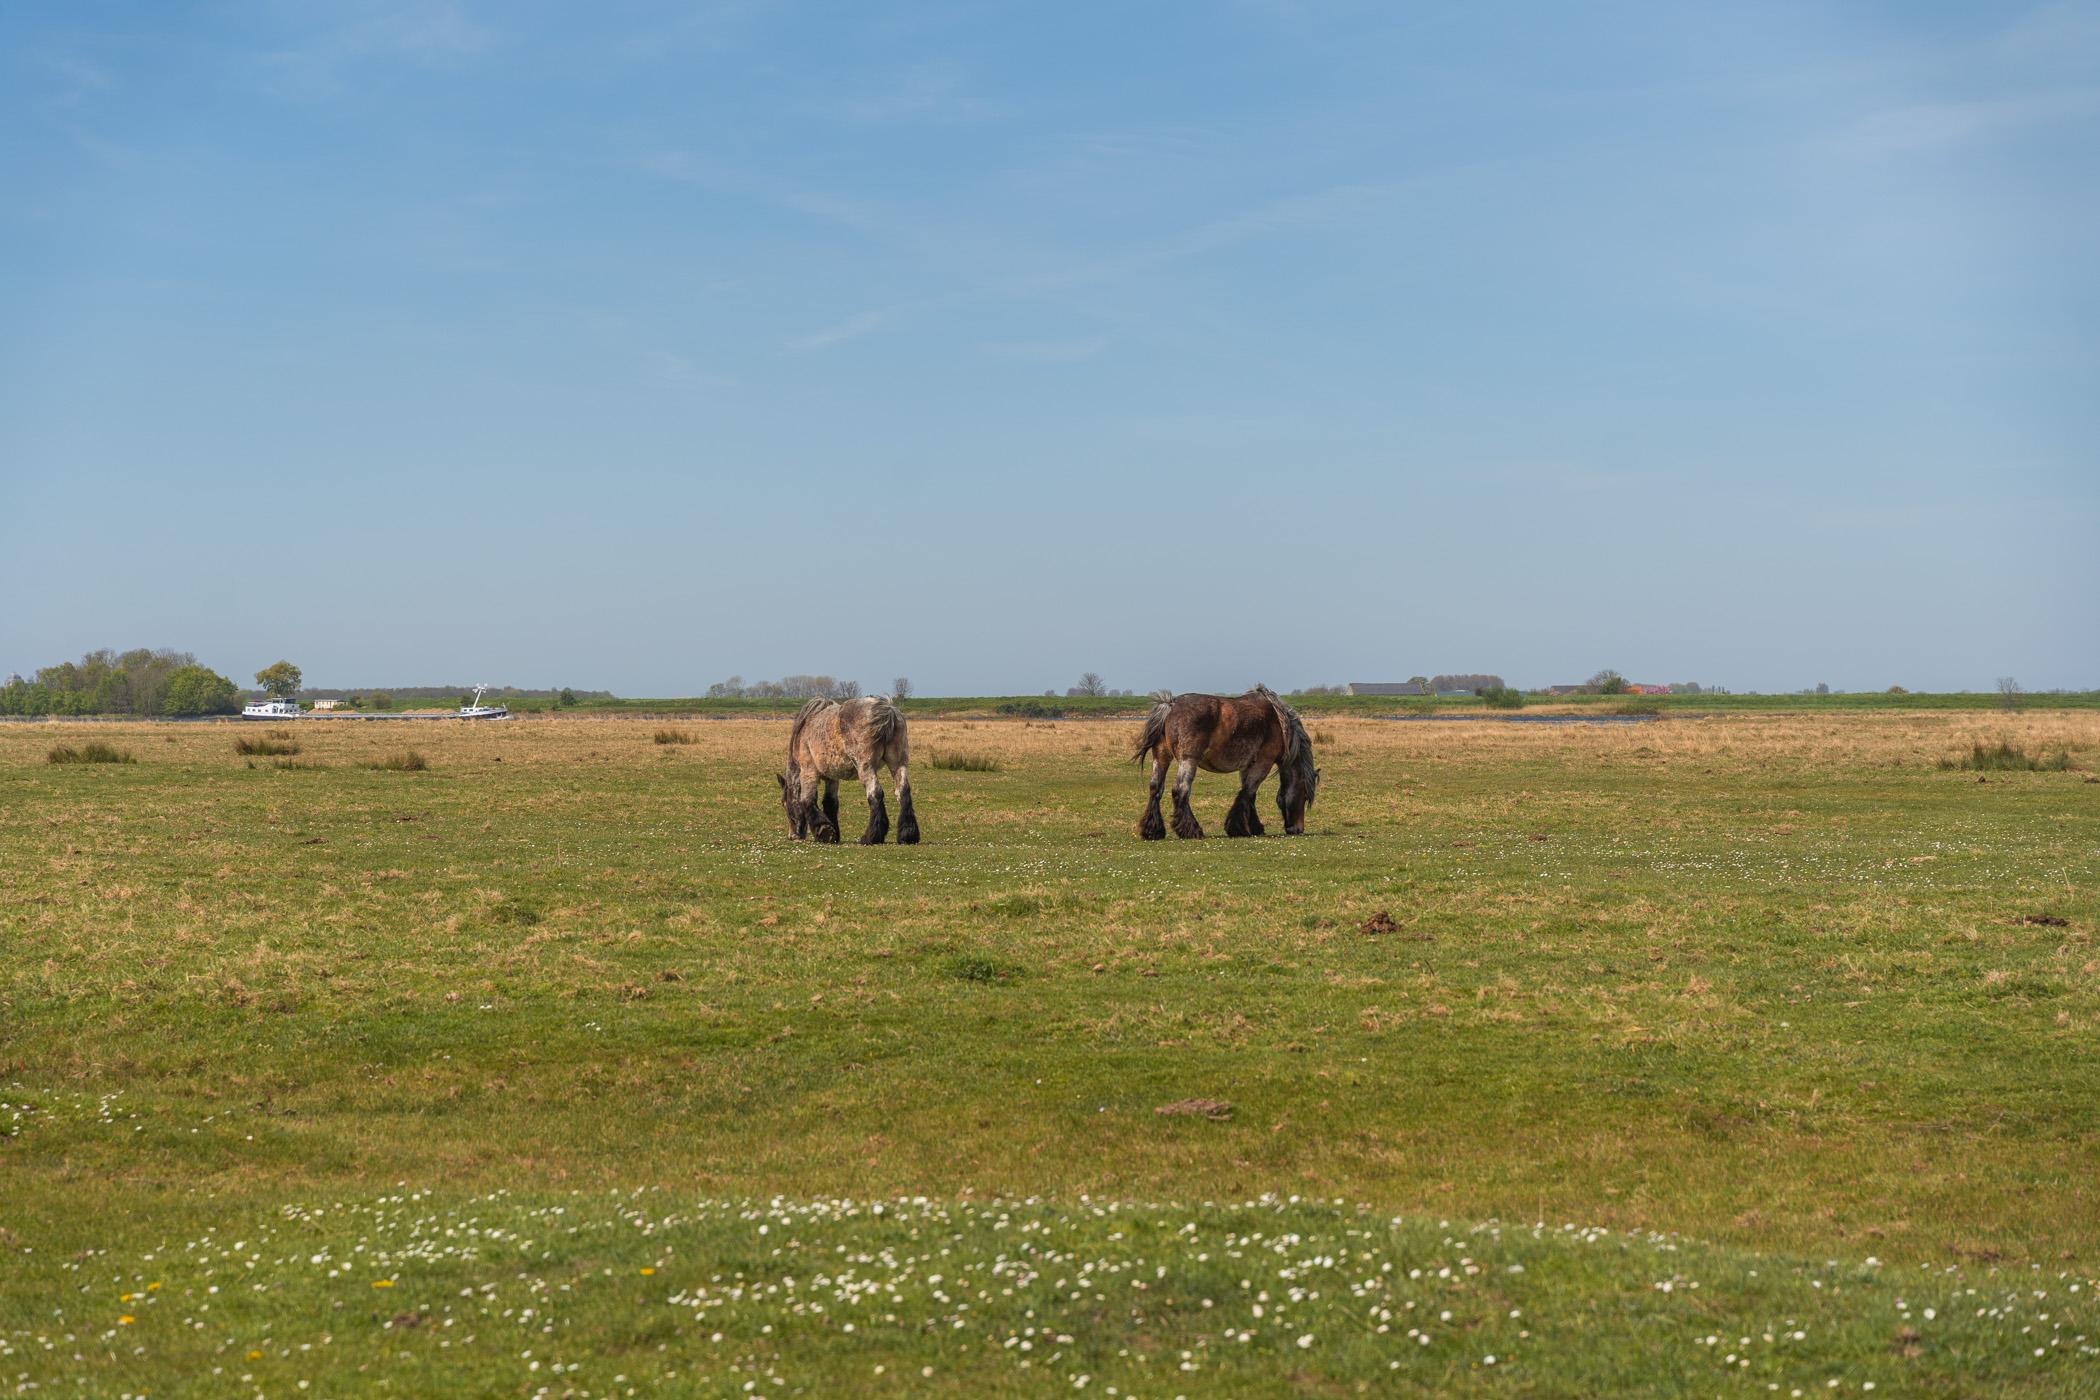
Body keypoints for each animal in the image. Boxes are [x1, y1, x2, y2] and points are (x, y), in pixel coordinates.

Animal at [776, 696, 915, 847]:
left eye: (784, 803)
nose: (792, 836)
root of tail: (887, 711)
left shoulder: (808, 770)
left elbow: (807, 799)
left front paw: (823, 831)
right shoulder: (831, 777)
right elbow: (830, 802)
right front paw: (833, 834)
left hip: (866, 767)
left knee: (875, 794)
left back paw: (870, 837)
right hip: (898, 764)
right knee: (903, 792)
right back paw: (907, 835)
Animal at [1134, 684, 1310, 839]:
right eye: (1304, 795)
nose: (1298, 829)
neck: (1277, 721)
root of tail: (1171, 705)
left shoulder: (1247, 765)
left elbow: (1249, 795)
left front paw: (1253, 827)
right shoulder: (1263, 762)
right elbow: (1247, 792)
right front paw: (1239, 828)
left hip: (1161, 758)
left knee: (1155, 789)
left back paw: (1152, 831)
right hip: (1188, 761)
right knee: (1180, 790)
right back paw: (1192, 830)